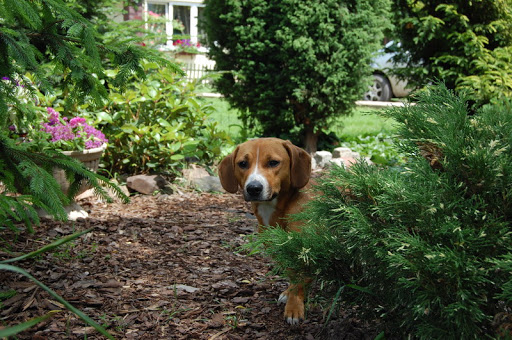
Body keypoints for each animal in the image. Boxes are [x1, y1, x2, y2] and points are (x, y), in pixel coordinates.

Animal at [217, 137, 312, 324]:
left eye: (273, 162)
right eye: (243, 163)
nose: (253, 188)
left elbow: (298, 278)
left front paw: (294, 307)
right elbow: (291, 274)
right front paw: (290, 294)